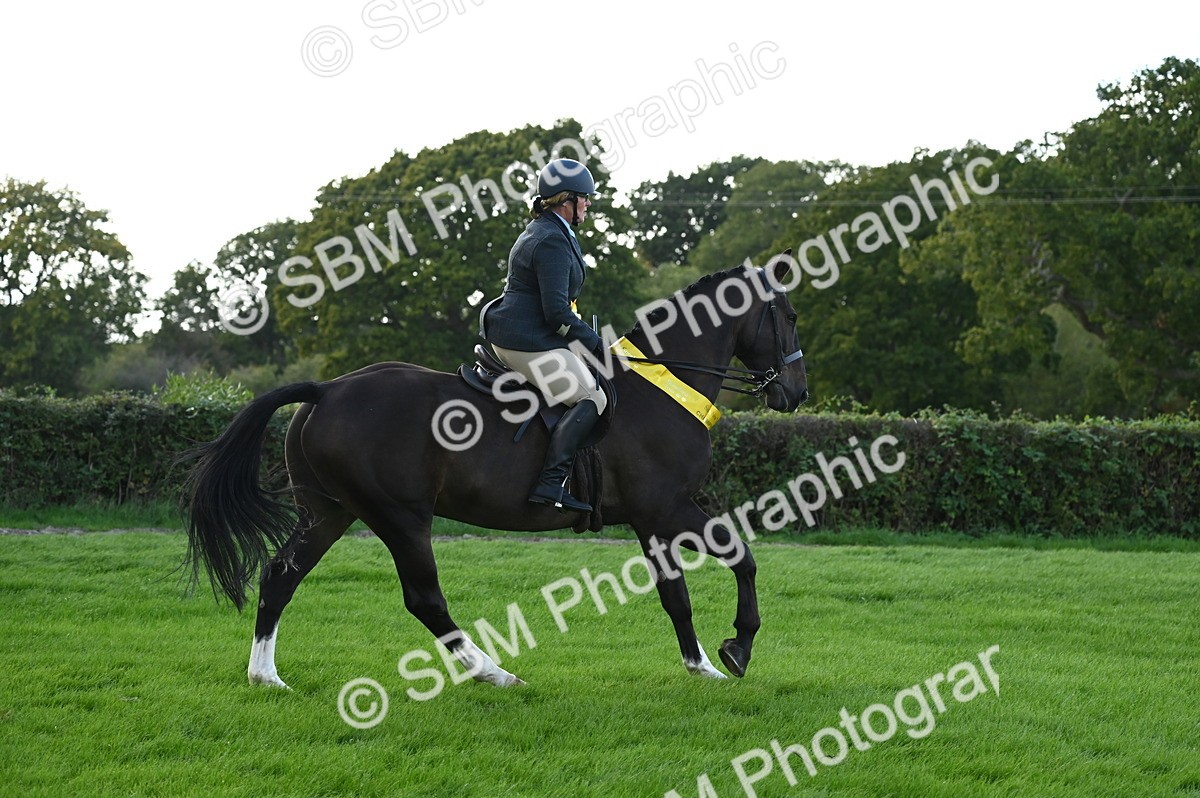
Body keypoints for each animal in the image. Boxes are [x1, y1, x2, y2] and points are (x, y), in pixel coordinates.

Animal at [182, 253, 808, 690]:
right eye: (790, 316)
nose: (796, 394)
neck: (664, 384)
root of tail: (326, 389)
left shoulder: (650, 518)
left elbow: (675, 593)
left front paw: (703, 666)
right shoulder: (666, 508)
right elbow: (740, 558)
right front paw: (737, 650)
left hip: (329, 512)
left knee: (280, 576)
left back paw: (266, 676)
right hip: (400, 517)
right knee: (425, 599)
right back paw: (495, 673)